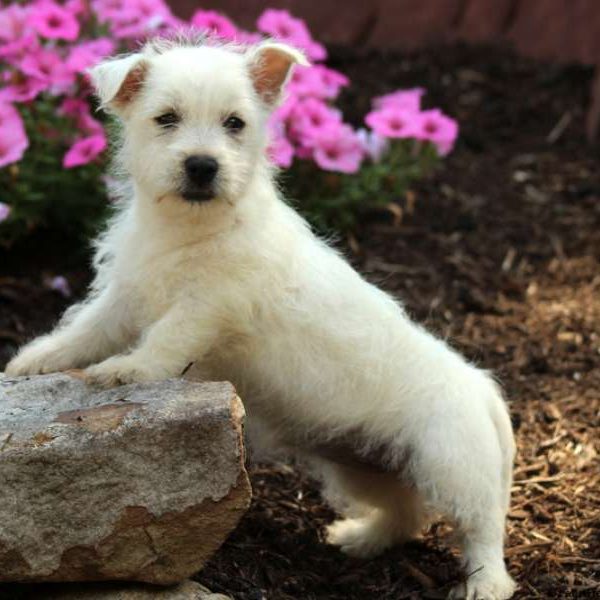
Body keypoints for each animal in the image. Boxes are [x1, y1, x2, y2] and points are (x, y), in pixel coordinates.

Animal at [5, 37, 516, 600]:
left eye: (235, 123)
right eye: (166, 119)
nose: (202, 166)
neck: (192, 227)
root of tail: (481, 386)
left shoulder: (210, 303)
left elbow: (167, 338)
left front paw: (129, 370)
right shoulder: (125, 296)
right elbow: (84, 328)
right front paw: (35, 360)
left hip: (453, 466)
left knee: (482, 529)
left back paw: (485, 584)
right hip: (365, 465)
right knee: (405, 514)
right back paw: (360, 538)